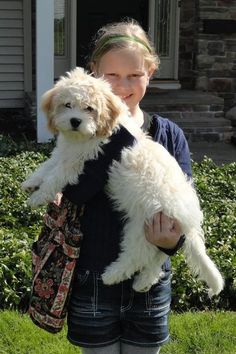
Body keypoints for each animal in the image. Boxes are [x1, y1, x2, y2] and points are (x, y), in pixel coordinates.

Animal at [23, 68, 224, 298]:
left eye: (89, 108)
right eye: (67, 105)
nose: (75, 121)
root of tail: (190, 220)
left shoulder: (78, 162)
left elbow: (55, 176)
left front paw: (38, 196)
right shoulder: (65, 153)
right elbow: (48, 166)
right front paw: (31, 183)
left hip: (142, 227)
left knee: (138, 255)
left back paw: (112, 275)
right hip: (157, 231)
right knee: (158, 257)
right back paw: (142, 282)